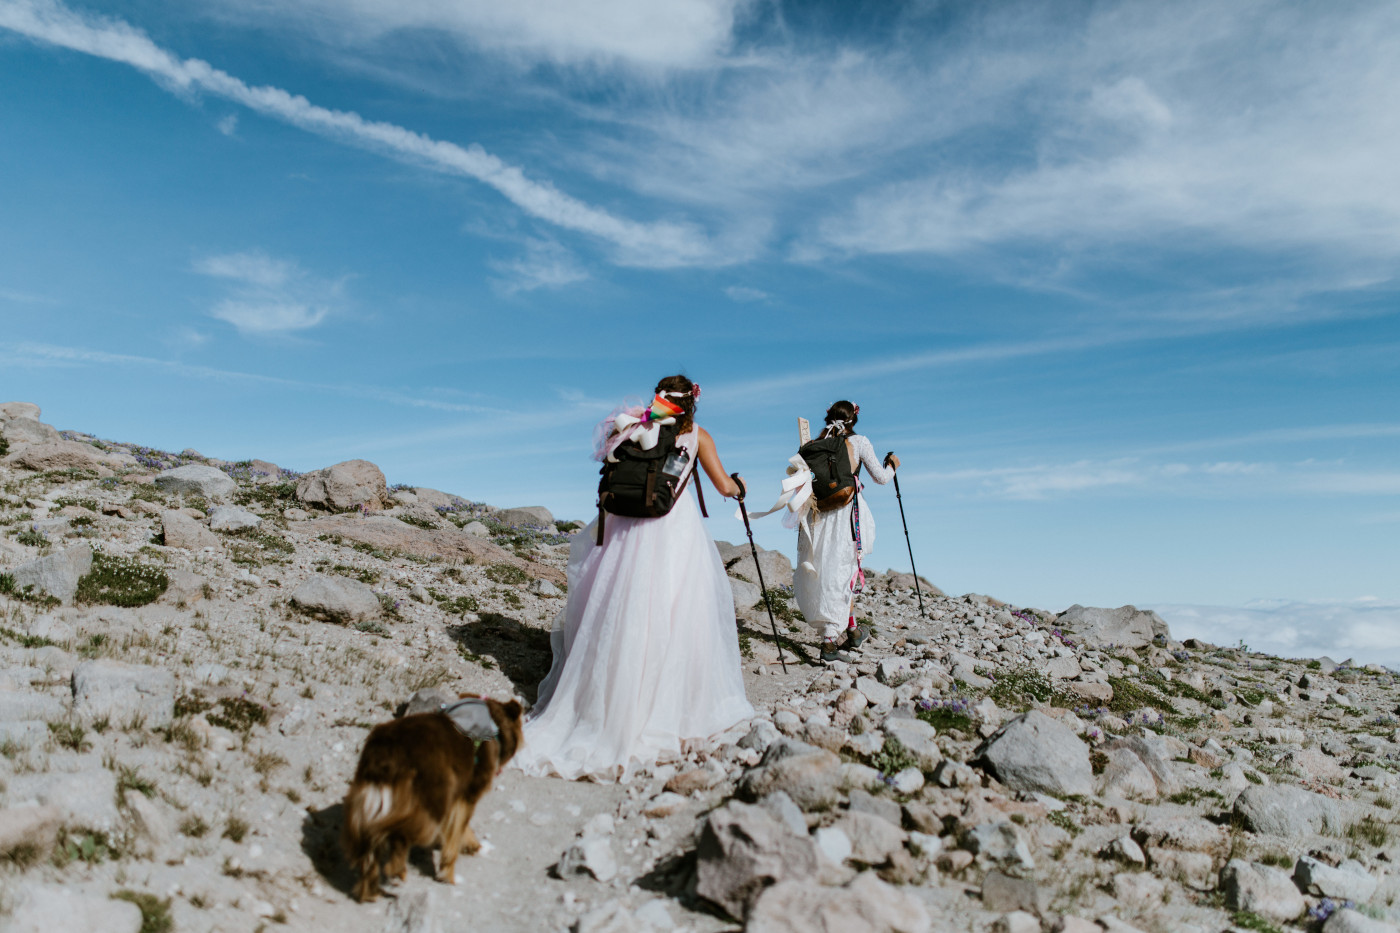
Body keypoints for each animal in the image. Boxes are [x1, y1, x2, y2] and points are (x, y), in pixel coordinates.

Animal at [344, 694, 526, 896]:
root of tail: (389, 751)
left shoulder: (455, 798)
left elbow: (459, 829)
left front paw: (471, 844)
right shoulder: (467, 796)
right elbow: (456, 834)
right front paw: (448, 873)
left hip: (375, 800)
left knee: (370, 847)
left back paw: (368, 889)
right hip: (429, 807)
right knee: (399, 838)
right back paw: (396, 873)